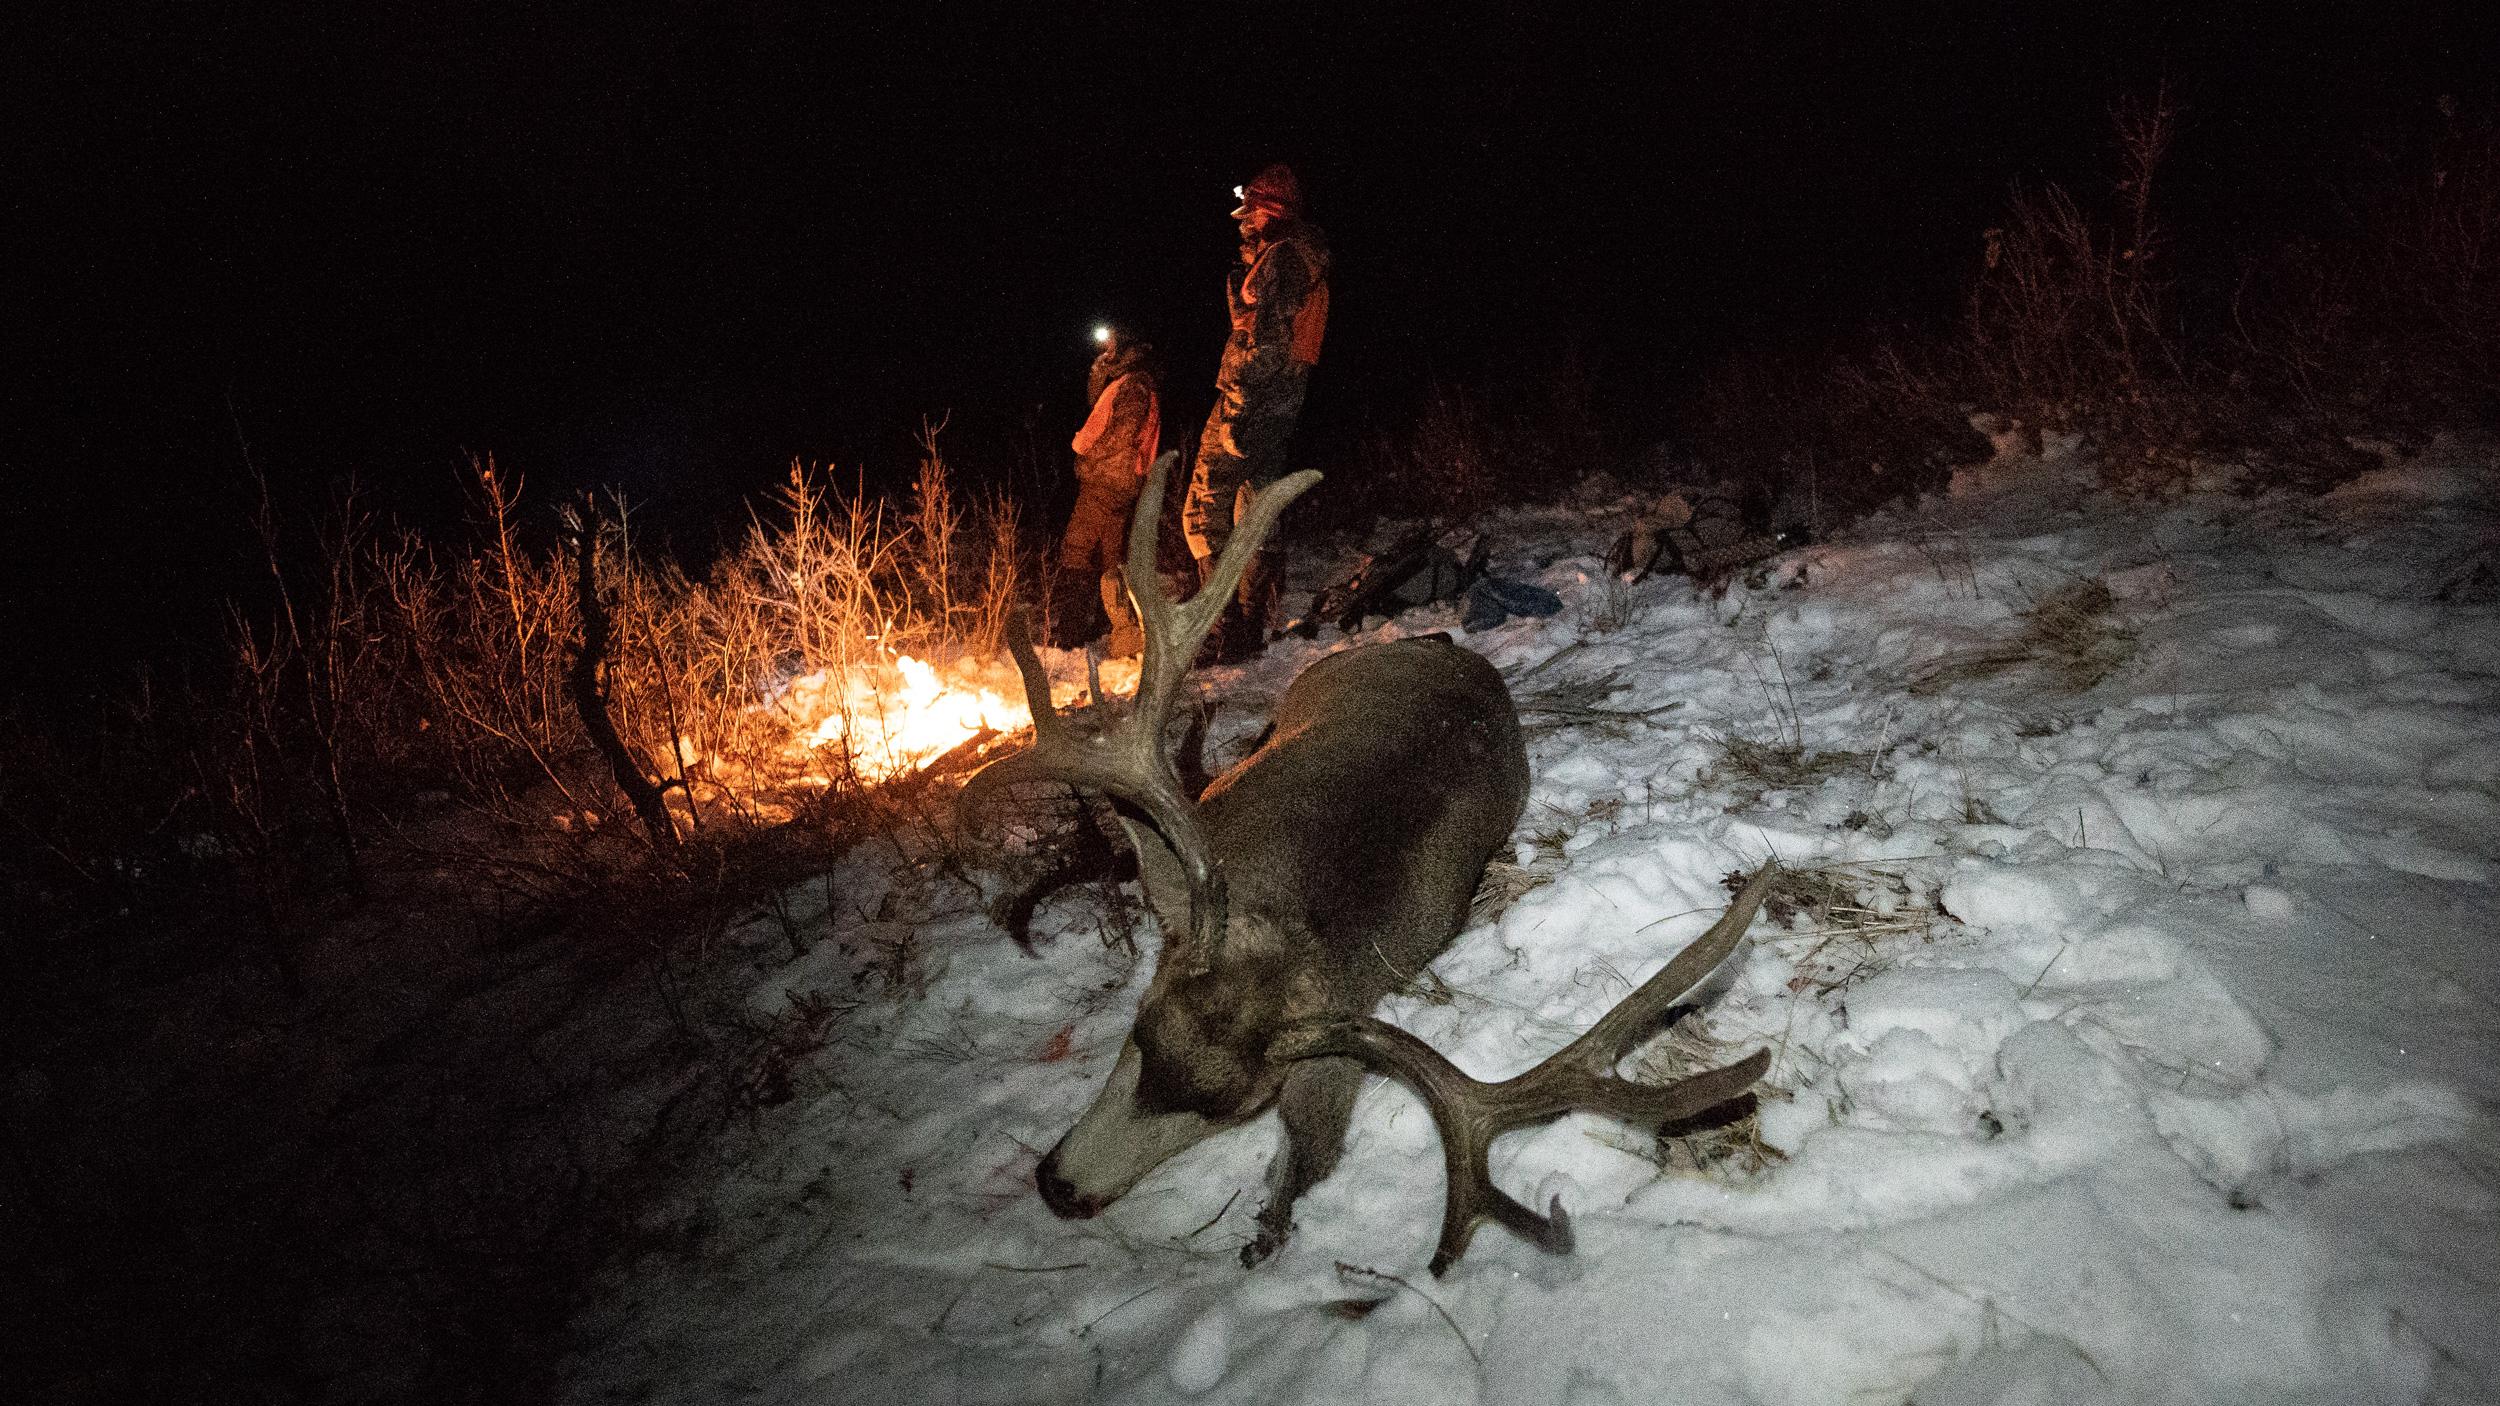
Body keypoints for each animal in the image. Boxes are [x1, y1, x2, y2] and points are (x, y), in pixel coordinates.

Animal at [960, 452, 1774, 1273]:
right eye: (1139, 1031)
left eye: (1228, 1108)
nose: (1059, 1186)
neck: (1292, 918)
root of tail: (1444, 646)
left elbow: (1313, 1147)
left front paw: (1270, 1224)